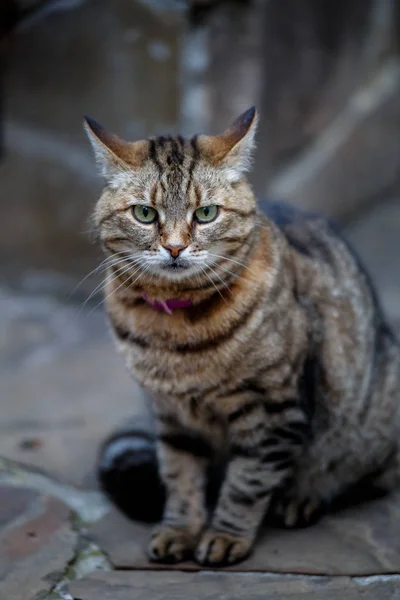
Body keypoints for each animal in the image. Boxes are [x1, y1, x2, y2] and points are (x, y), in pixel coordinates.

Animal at [84, 109, 400, 568]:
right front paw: (180, 530)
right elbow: (180, 478)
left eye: (205, 213)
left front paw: (225, 537)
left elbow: (245, 485)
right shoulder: (171, 416)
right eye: (144, 213)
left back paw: (303, 497)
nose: (175, 248)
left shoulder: (271, 412)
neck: (176, 332)